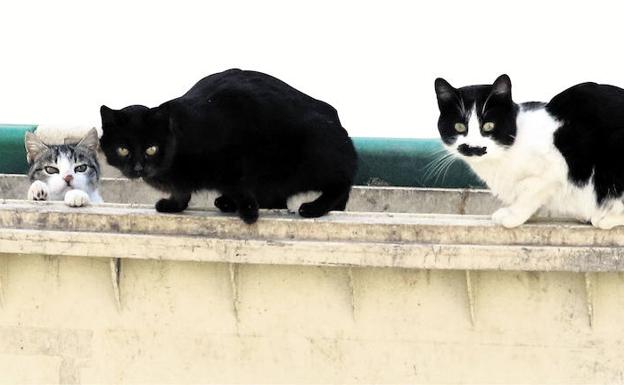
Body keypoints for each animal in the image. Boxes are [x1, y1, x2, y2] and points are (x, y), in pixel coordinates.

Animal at [100, 68, 358, 224]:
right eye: (123, 149)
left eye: (151, 148)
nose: (138, 167)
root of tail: (337, 122)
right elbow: (182, 191)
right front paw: (175, 205)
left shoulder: (234, 157)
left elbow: (239, 185)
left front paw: (249, 213)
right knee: (277, 199)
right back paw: (225, 202)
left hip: (316, 155)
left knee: (341, 184)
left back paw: (313, 207)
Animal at [434, 74, 624, 228]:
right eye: (459, 127)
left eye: (489, 126)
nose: (474, 147)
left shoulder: (553, 171)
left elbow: (528, 194)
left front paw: (513, 215)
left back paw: (605, 218)